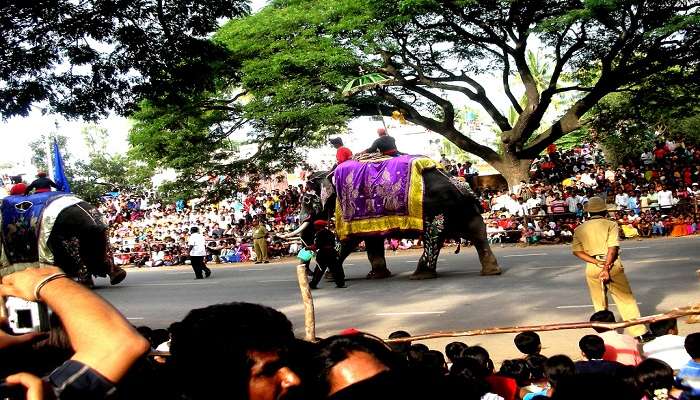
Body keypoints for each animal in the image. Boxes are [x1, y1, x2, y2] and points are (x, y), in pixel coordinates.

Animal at [286, 155, 504, 280]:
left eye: (306, 200)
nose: (309, 268)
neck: (329, 172)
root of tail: (459, 184)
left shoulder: (345, 208)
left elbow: (347, 240)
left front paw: (330, 277)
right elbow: (371, 241)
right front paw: (376, 275)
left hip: (435, 209)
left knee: (433, 237)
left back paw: (420, 275)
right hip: (462, 209)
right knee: (478, 231)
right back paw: (492, 271)